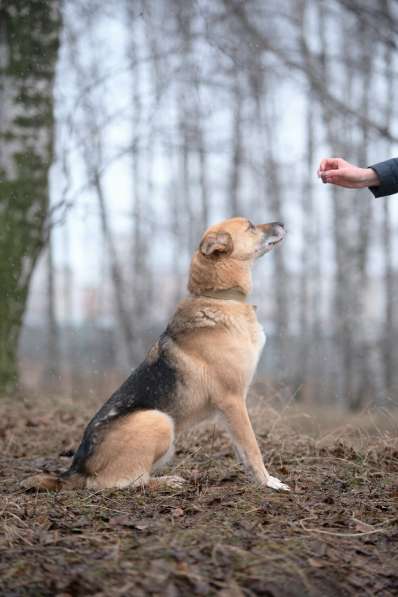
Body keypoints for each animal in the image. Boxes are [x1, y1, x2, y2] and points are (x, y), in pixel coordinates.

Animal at [22, 217, 290, 492]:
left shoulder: (230, 409)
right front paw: (268, 481)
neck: (218, 297)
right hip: (158, 420)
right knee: (124, 482)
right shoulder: (233, 400)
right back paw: (166, 482)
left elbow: (242, 450)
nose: (281, 223)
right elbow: (252, 447)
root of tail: (76, 469)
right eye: (250, 226)